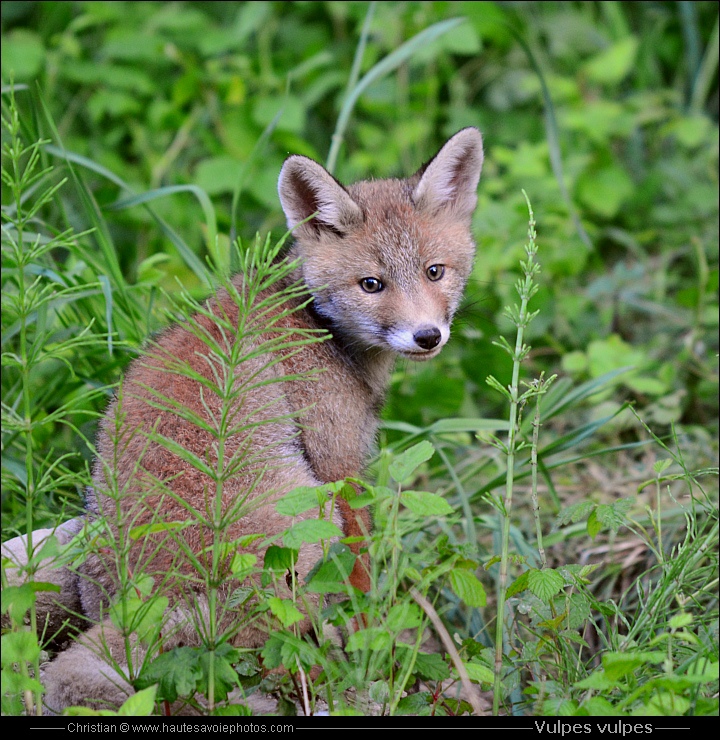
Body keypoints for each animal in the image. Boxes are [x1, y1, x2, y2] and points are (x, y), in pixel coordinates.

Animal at [29, 125, 490, 712]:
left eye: (435, 272)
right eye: (371, 284)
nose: (427, 336)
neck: (314, 322)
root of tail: (149, 604)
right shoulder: (339, 466)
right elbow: (363, 584)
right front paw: (376, 657)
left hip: (65, 540)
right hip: (309, 526)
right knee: (280, 659)